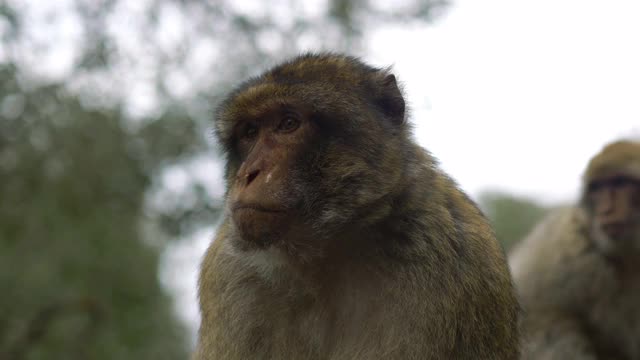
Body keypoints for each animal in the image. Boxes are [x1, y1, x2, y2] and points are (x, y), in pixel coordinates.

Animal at [194, 52, 520, 360]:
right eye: (249, 132)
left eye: (288, 124)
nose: (248, 174)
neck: (321, 257)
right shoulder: (229, 273)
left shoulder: (439, 253)